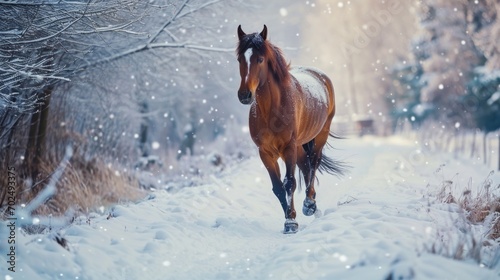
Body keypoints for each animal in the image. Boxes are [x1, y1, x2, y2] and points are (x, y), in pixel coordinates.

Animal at [236, 25, 346, 233]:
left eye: (260, 59)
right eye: (239, 59)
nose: (244, 95)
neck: (271, 110)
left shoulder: (288, 147)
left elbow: (289, 183)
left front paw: (291, 222)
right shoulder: (265, 152)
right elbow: (278, 187)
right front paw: (289, 218)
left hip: (319, 136)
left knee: (313, 164)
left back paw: (309, 205)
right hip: (299, 146)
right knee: (305, 165)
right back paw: (310, 205)